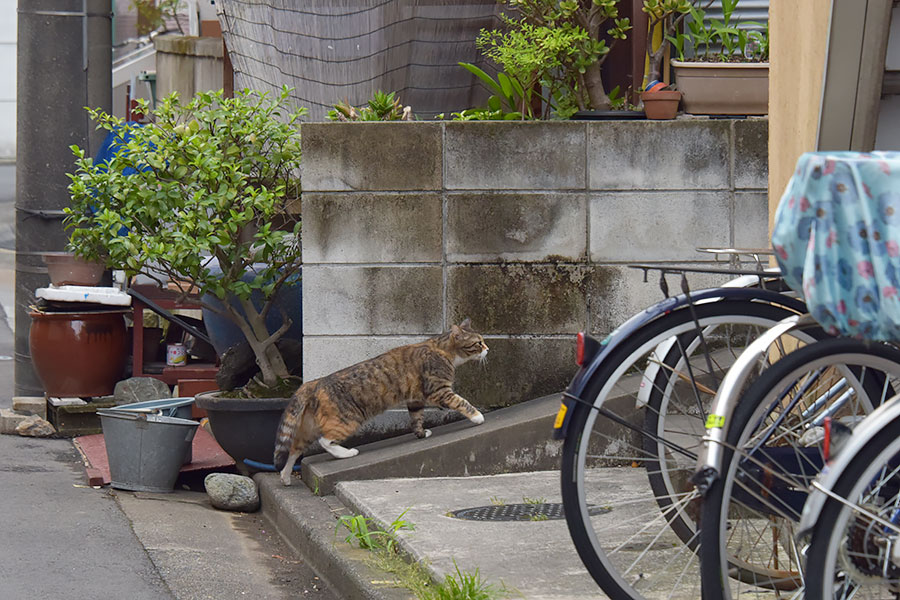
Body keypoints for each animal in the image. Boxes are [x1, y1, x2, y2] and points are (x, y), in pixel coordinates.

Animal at [274, 318, 488, 482]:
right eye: (478, 343)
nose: (488, 349)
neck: (443, 349)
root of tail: (314, 383)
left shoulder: (415, 398)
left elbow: (416, 418)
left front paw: (421, 434)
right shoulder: (439, 390)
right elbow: (461, 402)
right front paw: (477, 416)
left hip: (308, 427)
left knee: (294, 448)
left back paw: (285, 476)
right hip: (347, 420)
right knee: (325, 440)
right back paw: (347, 453)